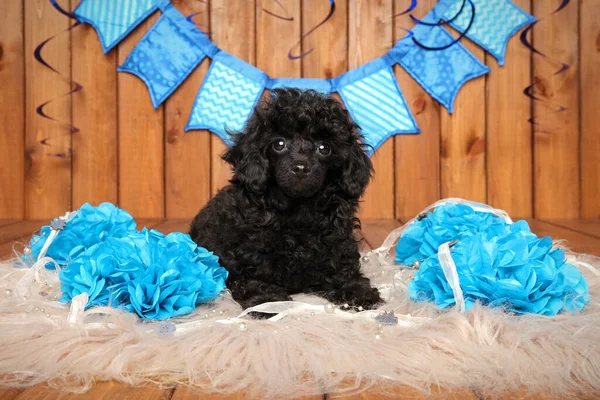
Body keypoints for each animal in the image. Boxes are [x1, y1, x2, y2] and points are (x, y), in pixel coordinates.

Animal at [190, 89, 382, 310]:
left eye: (324, 148)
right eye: (279, 144)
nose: (300, 167)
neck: (298, 209)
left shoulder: (337, 237)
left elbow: (341, 266)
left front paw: (356, 290)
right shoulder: (251, 250)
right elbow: (255, 276)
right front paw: (267, 300)